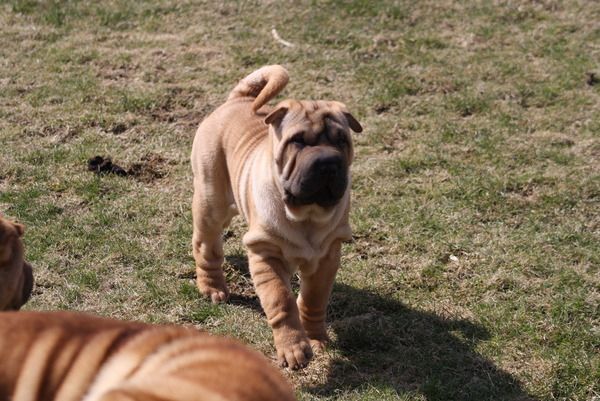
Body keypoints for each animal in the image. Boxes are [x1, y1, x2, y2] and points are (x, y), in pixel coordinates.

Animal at [191, 65, 362, 369]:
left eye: (342, 141)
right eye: (297, 141)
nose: (328, 162)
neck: (307, 216)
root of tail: (236, 100)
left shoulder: (328, 257)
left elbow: (314, 299)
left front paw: (315, 338)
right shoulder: (265, 254)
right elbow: (281, 301)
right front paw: (293, 348)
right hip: (212, 203)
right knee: (206, 247)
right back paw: (212, 288)